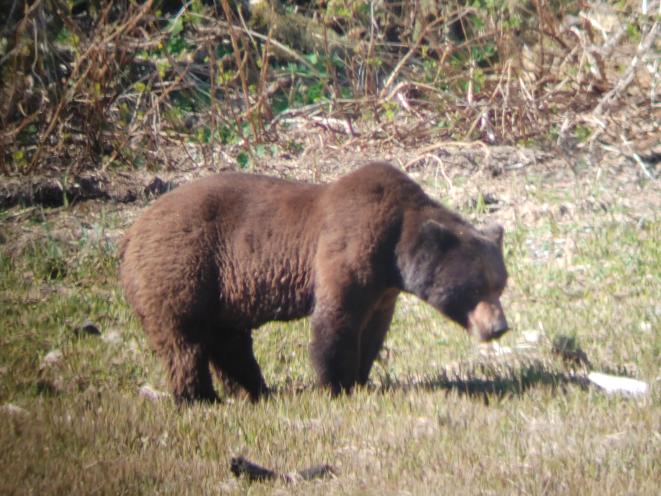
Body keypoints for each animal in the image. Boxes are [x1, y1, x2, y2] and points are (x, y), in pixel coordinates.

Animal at [119, 161, 508, 403]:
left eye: (500, 283)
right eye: (474, 288)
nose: (499, 327)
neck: (395, 250)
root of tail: (131, 232)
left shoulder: (384, 289)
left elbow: (373, 329)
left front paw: (360, 378)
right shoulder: (350, 246)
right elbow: (336, 318)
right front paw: (334, 383)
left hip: (221, 290)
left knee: (227, 340)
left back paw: (254, 390)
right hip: (184, 266)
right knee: (183, 340)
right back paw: (199, 397)